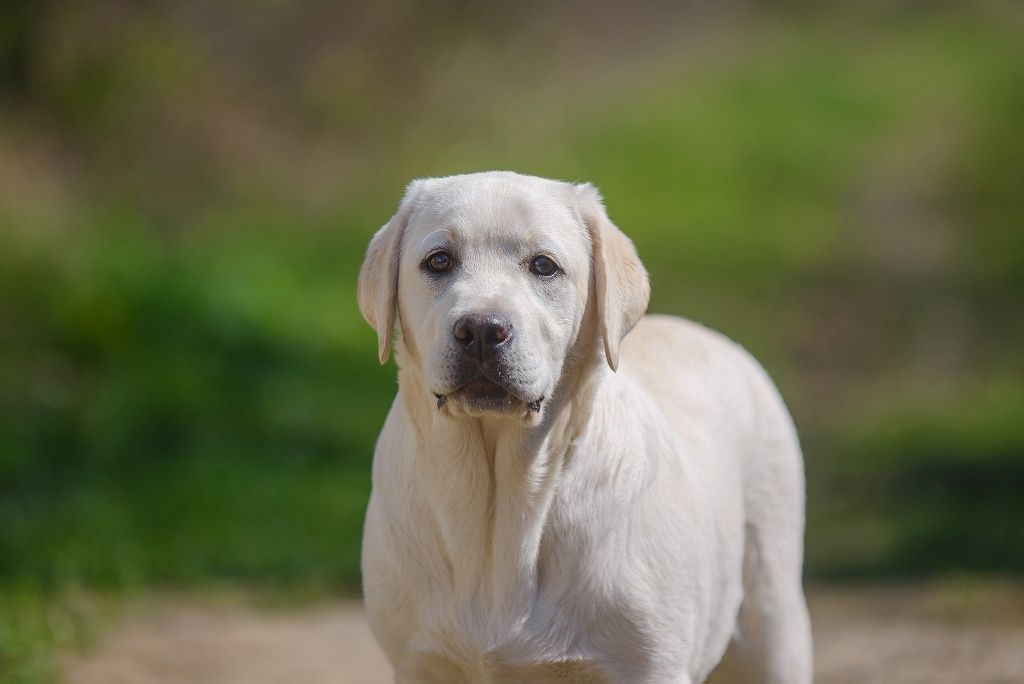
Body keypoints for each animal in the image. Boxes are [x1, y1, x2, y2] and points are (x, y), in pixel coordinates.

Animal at [356, 172, 811, 684]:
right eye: (438, 260)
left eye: (543, 266)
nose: (481, 330)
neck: (500, 500)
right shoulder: (419, 662)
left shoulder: (650, 666)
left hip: (773, 623)